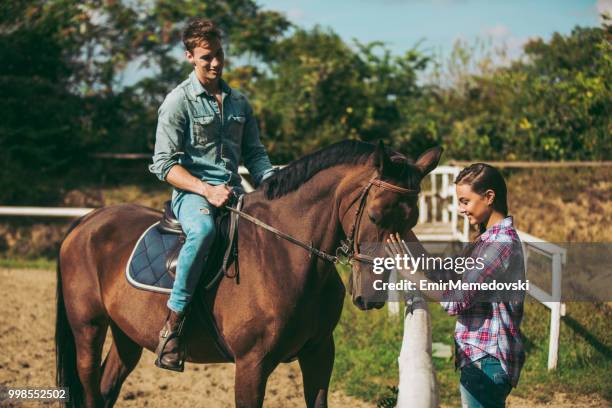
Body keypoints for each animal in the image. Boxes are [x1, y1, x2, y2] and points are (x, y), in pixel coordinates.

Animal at [56, 139, 440, 406]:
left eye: (411, 221)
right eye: (374, 216)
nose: (371, 295)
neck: (286, 256)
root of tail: (88, 221)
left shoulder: (319, 354)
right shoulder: (251, 365)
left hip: (127, 336)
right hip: (88, 328)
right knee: (90, 388)